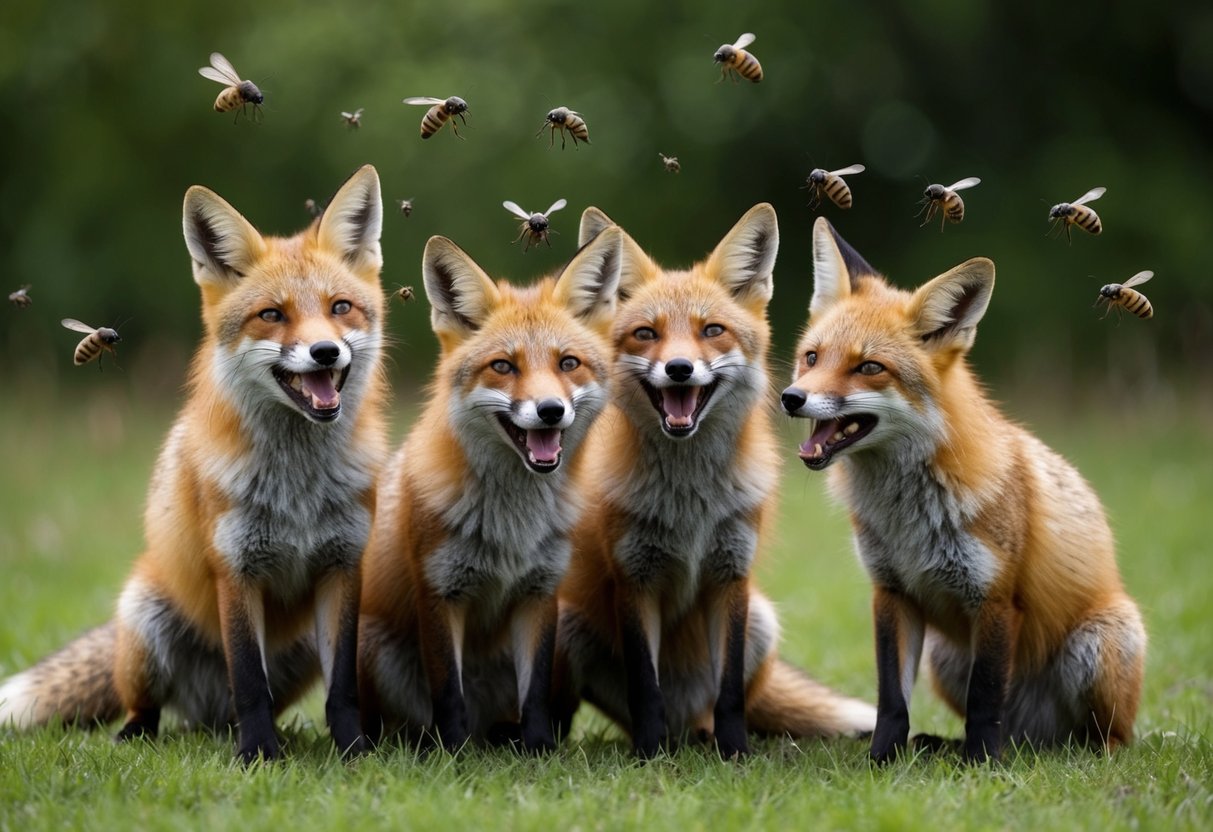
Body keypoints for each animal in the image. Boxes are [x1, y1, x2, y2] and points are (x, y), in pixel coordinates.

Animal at [0, 165, 389, 762]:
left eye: (340, 307)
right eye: (272, 315)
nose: (325, 352)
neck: (297, 489)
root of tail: (203, 711)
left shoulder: (343, 567)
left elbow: (342, 685)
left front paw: (353, 753)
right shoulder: (235, 567)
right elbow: (249, 680)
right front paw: (258, 757)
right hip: (144, 622)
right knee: (152, 708)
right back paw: (141, 736)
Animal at [357, 226, 624, 753]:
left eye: (568, 363)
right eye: (504, 366)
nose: (550, 411)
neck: (512, 527)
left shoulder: (540, 592)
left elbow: (534, 693)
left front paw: (539, 752)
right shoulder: (441, 592)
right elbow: (448, 691)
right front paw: (453, 755)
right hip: (377, 648)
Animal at [554, 205, 877, 759]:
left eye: (712, 330)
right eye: (646, 334)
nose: (679, 369)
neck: (690, 505)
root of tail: (687, 716)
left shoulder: (731, 575)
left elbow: (730, 693)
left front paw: (736, 754)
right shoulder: (635, 578)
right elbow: (646, 687)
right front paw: (649, 754)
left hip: (763, 623)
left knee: (720, 705)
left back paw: (708, 740)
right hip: (567, 621)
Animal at [780, 217, 1146, 762]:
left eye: (869, 367)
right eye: (811, 357)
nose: (790, 398)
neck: (908, 516)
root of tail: (1040, 740)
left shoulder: (994, 600)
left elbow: (985, 697)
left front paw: (981, 765)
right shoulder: (891, 593)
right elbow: (892, 700)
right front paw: (882, 761)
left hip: (1099, 644)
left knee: (1106, 738)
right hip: (946, 656)